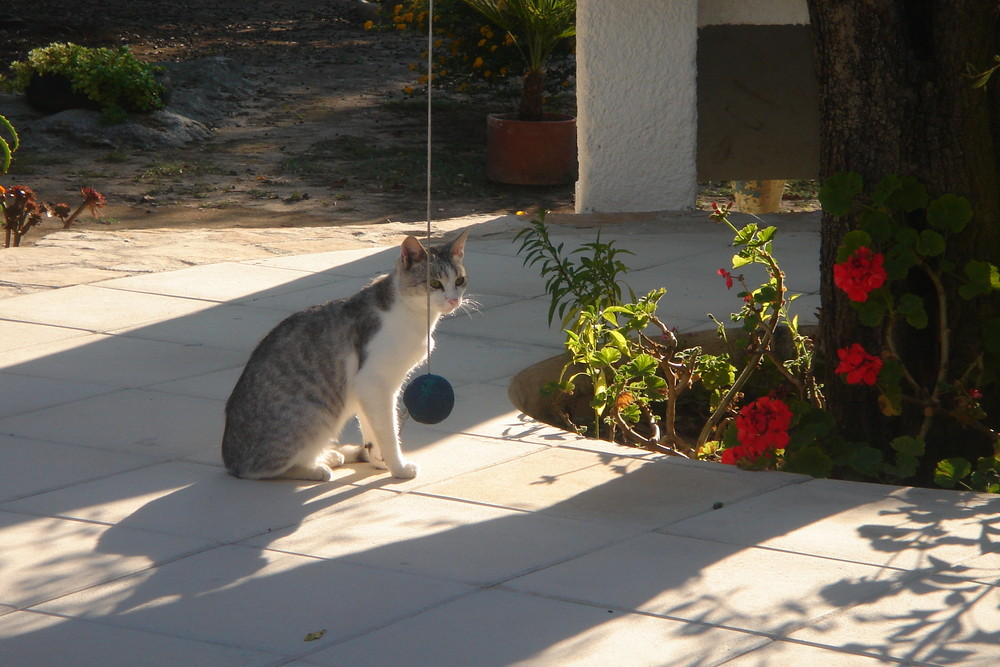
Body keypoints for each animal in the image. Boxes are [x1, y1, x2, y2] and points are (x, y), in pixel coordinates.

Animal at [223, 230, 468, 480]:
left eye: (459, 281)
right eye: (435, 283)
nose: (453, 300)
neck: (414, 316)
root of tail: (231, 462)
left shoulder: (367, 389)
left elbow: (372, 430)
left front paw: (378, 460)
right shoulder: (374, 382)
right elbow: (388, 432)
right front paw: (398, 467)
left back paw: (330, 456)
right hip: (316, 416)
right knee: (265, 469)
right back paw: (316, 468)